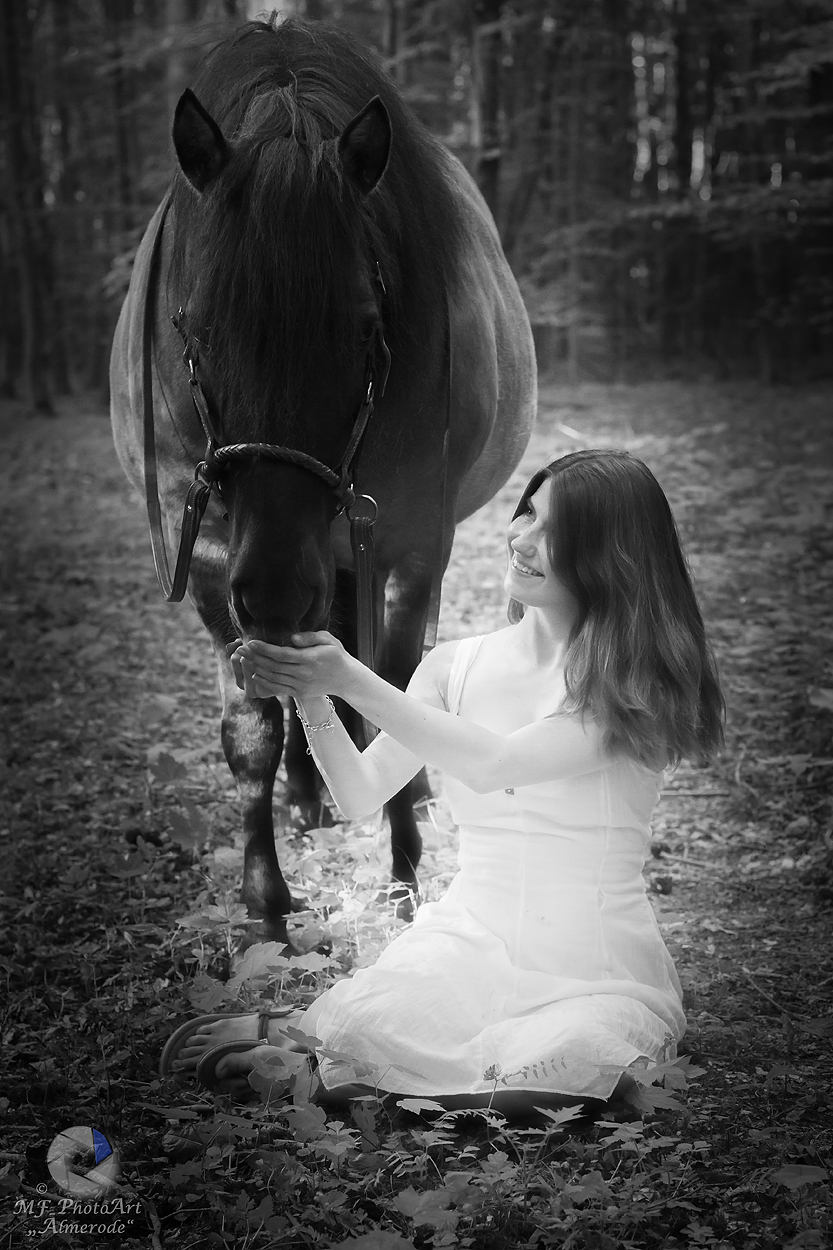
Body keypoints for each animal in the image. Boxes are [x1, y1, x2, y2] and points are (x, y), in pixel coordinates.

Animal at [110, 15, 536, 947]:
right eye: (193, 326)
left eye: (366, 329)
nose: (272, 587)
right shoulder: (214, 555)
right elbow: (251, 731)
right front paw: (266, 907)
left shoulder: (410, 546)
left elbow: (396, 686)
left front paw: (403, 876)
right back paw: (311, 795)